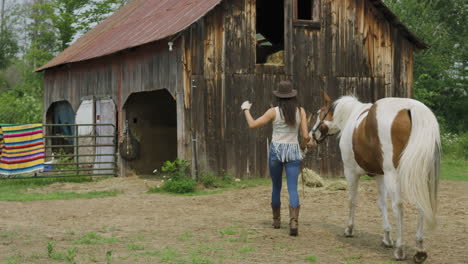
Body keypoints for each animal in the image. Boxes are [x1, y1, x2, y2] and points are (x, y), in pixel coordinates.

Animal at [312, 93, 440, 262]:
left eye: (319, 112)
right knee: (421, 205)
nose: (312, 134)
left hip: (393, 175)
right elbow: (381, 204)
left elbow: (352, 201)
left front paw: (349, 229)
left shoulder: (350, 172)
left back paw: (400, 250)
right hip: (419, 176)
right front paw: (386, 237)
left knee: (398, 207)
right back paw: (419, 250)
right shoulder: (380, 175)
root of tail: (412, 109)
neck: (351, 116)